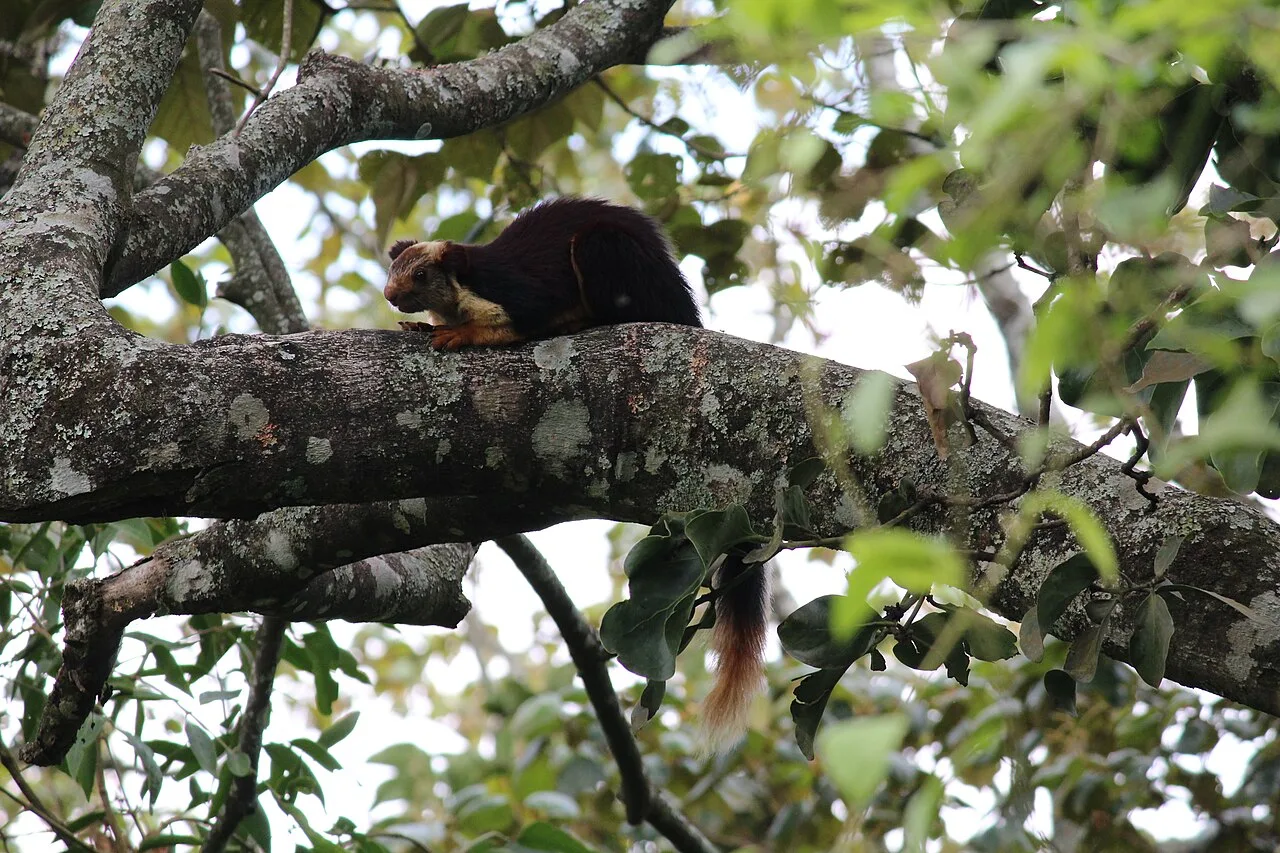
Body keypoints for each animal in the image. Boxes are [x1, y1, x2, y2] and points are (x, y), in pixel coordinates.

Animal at [384, 196, 768, 746]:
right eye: (393, 269)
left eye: (419, 275)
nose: (391, 296)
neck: (463, 289)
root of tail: (685, 312)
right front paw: (421, 327)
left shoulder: (519, 292)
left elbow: (519, 323)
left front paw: (456, 333)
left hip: (606, 252)